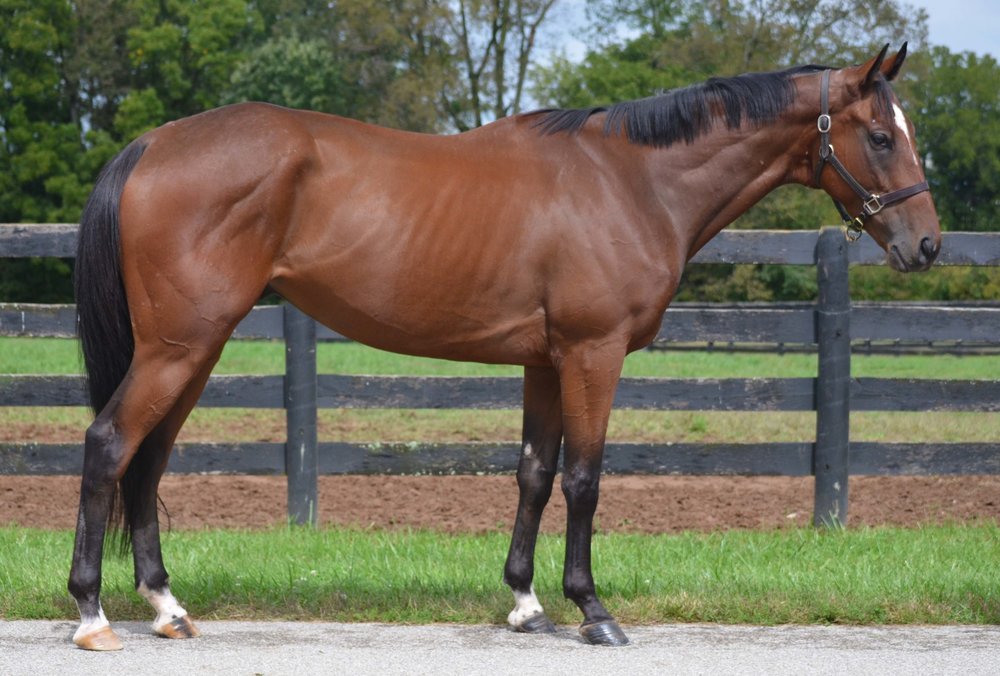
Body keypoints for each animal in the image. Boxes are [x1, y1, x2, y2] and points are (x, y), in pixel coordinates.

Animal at [69, 43, 939, 650]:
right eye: (879, 136)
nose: (927, 246)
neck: (631, 180)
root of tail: (153, 143)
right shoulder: (593, 353)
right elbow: (585, 479)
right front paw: (593, 610)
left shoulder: (545, 362)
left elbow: (534, 474)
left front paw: (526, 603)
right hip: (180, 347)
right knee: (110, 444)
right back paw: (92, 614)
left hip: (194, 350)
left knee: (147, 460)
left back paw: (167, 607)